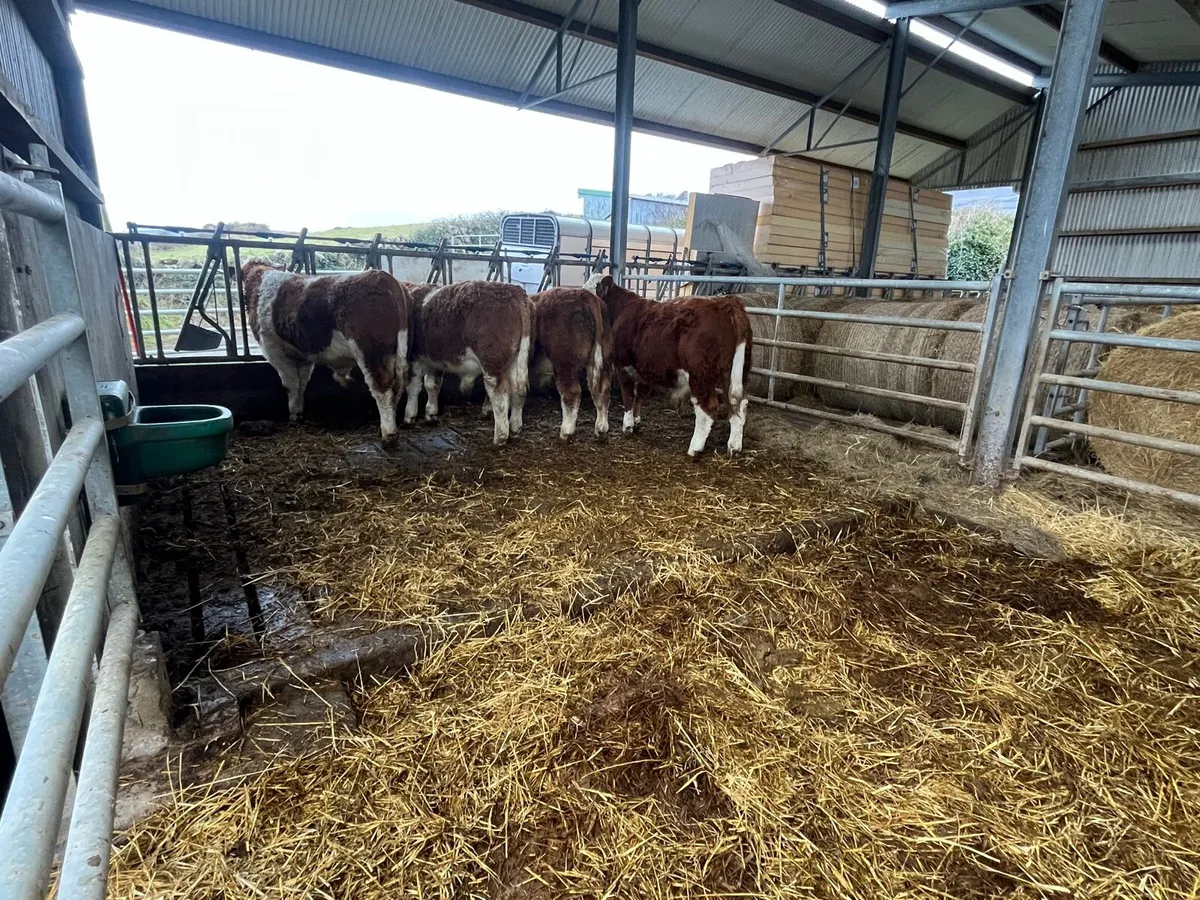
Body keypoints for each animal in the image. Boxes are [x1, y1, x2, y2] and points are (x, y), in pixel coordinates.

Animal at [241, 262, 411, 445]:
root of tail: (383, 277)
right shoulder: (304, 357)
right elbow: (301, 383)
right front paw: (298, 413)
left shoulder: (274, 349)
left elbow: (289, 384)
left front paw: (293, 415)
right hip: (398, 351)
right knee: (398, 387)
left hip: (371, 352)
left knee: (382, 388)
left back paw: (388, 433)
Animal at [404, 281, 532, 446]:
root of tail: (514, 290)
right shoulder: (435, 362)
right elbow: (432, 385)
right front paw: (431, 413)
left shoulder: (413, 358)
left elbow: (413, 387)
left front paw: (409, 416)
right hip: (516, 360)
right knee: (518, 391)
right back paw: (515, 426)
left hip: (492, 362)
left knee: (500, 395)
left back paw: (500, 436)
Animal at [530, 287, 612, 440]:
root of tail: (583, 294)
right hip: (605, 359)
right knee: (603, 390)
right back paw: (601, 428)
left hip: (565, 364)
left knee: (571, 393)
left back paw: (566, 432)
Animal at [589, 275, 753, 457]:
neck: (620, 309)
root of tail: (727, 303)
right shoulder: (643, 369)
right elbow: (641, 395)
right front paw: (637, 422)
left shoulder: (623, 366)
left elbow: (629, 397)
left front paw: (628, 426)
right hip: (734, 374)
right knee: (739, 403)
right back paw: (734, 446)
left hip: (700, 375)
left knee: (708, 408)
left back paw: (695, 448)